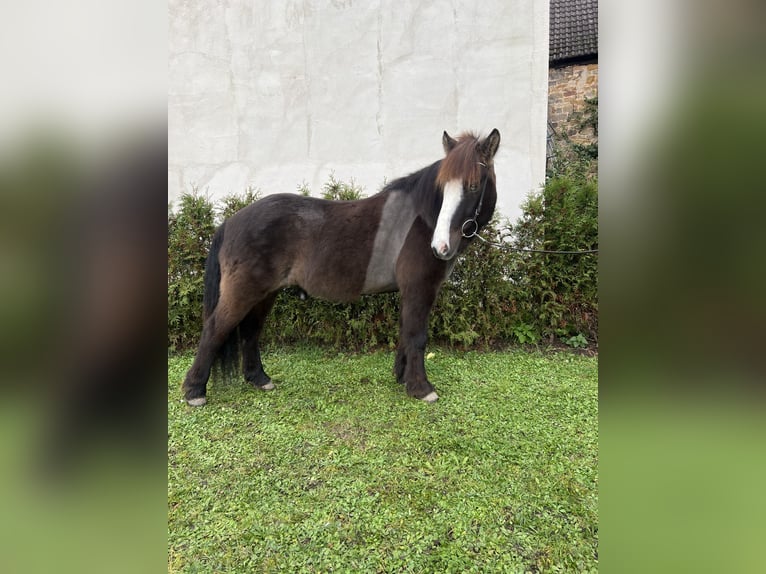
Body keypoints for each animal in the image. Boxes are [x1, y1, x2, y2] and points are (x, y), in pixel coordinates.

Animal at [182, 132, 500, 410]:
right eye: (442, 188)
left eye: (474, 186)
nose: (440, 246)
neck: (419, 220)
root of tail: (230, 222)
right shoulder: (419, 289)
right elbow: (416, 336)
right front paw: (421, 388)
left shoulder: (409, 293)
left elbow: (405, 333)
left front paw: (402, 377)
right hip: (243, 292)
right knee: (214, 329)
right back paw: (194, 391)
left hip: (265, 294)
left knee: (250, 331)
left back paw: (259, 379)